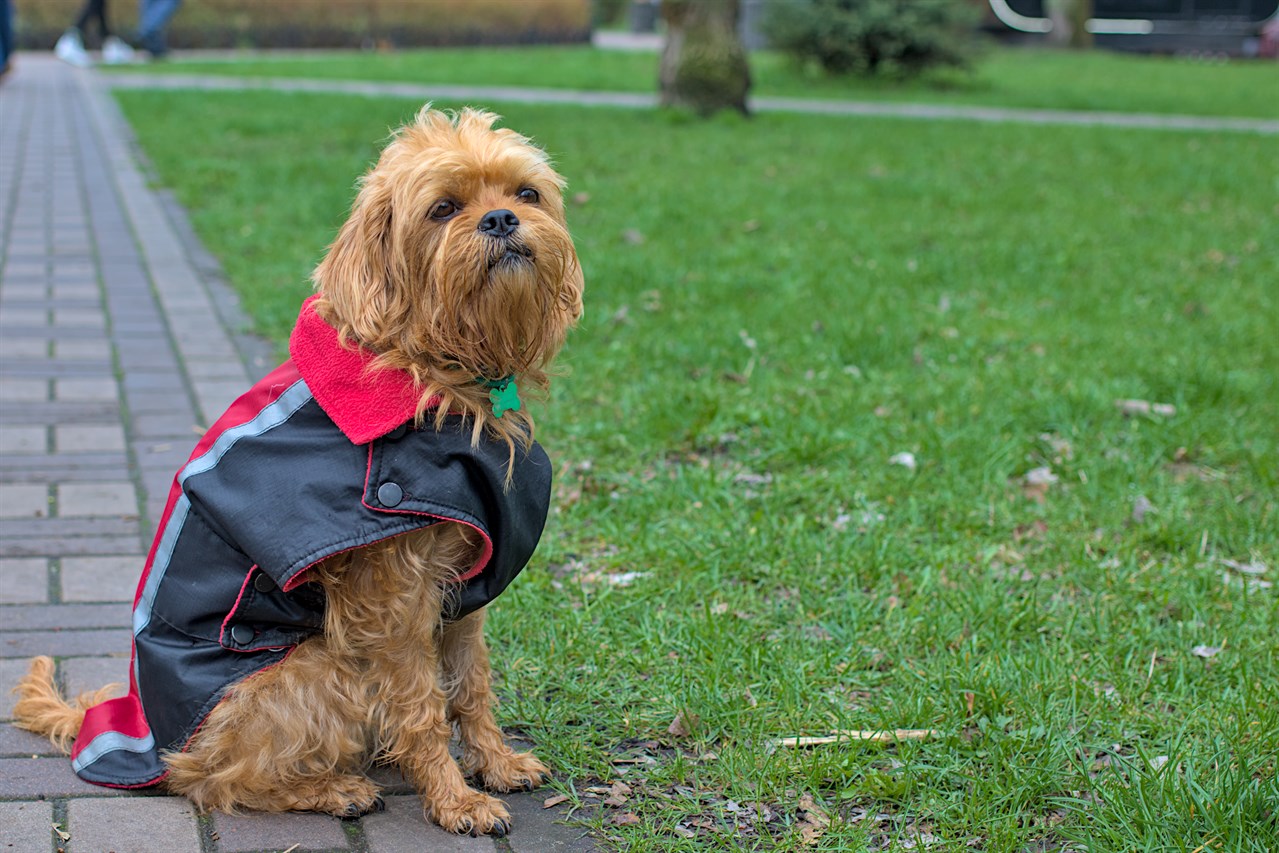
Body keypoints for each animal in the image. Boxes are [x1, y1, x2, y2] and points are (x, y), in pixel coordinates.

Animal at [13, 104, 585, 833]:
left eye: (525, 193)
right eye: (443, 208)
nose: (502, 220)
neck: (428, 375)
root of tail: (140, 729)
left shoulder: (462, 582)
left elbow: (471, 684)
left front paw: (495, 761)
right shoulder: (392, 601)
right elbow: (423, 704)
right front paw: (453, 797)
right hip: (318, 670)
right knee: (210, 778)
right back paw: (331, 788)